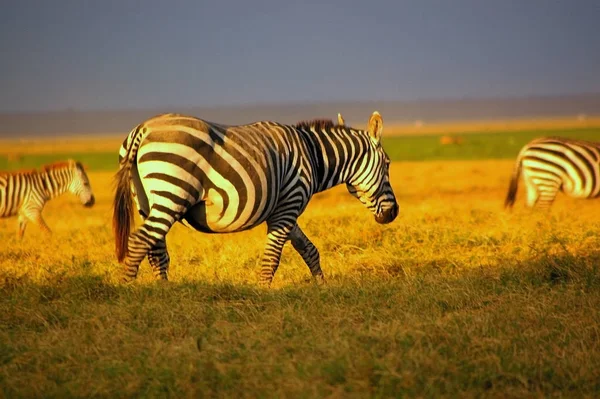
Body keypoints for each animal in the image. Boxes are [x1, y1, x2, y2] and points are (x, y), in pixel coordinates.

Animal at [115, 110, 400, 284]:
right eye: (388, 164)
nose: (393, 213)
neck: (313, 154)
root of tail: (143, 128)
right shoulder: (289, 204)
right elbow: (272, 257)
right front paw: (264, 294)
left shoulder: (285, 208)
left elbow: (309, 249)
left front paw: (322, 286)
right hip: (172, 194)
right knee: (141, 241)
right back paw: (130, 290)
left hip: (147, 201)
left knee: (156, 250)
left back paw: (163, 290)